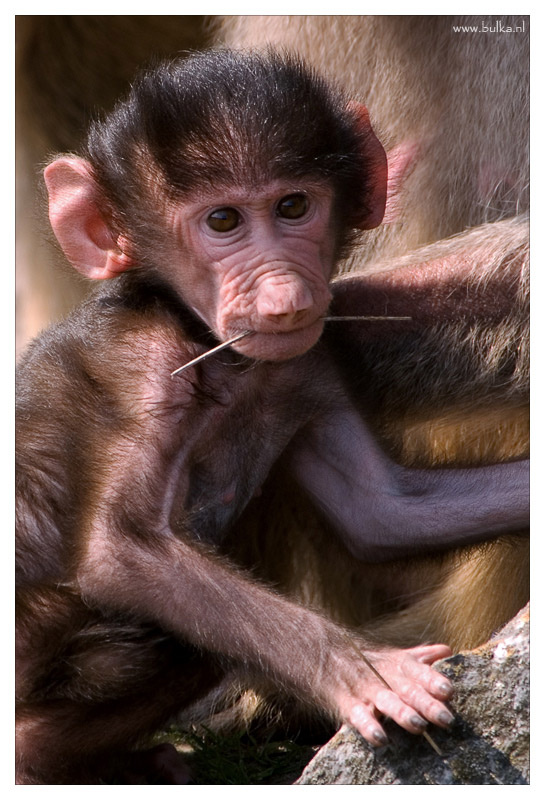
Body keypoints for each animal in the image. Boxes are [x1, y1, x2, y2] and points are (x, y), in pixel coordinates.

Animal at [16, 49, 529, 784]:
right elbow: (121, 548)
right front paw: (363, 672)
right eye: (222, 223)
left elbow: (385, 510)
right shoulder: (143, 366)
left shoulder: (304, 366)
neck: (215, 353)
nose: (283, 291)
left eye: (293, 207)